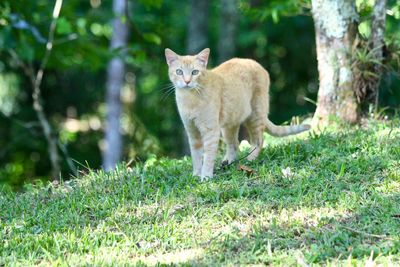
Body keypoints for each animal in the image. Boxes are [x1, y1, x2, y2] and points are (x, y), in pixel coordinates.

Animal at [164, 48, 310, 180]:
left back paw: (250, 159)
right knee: (234, 145)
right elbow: (196, 156)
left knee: (258, 140)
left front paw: (205, 176)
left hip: (255, 115)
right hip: (229, 125)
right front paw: (196, 174)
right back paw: (228, 162)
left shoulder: (211, 131)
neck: (190, 99)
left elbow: (208, 156)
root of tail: (254, 62)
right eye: (179, 71)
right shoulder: (192, 132)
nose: (187, 81)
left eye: (195, 72)